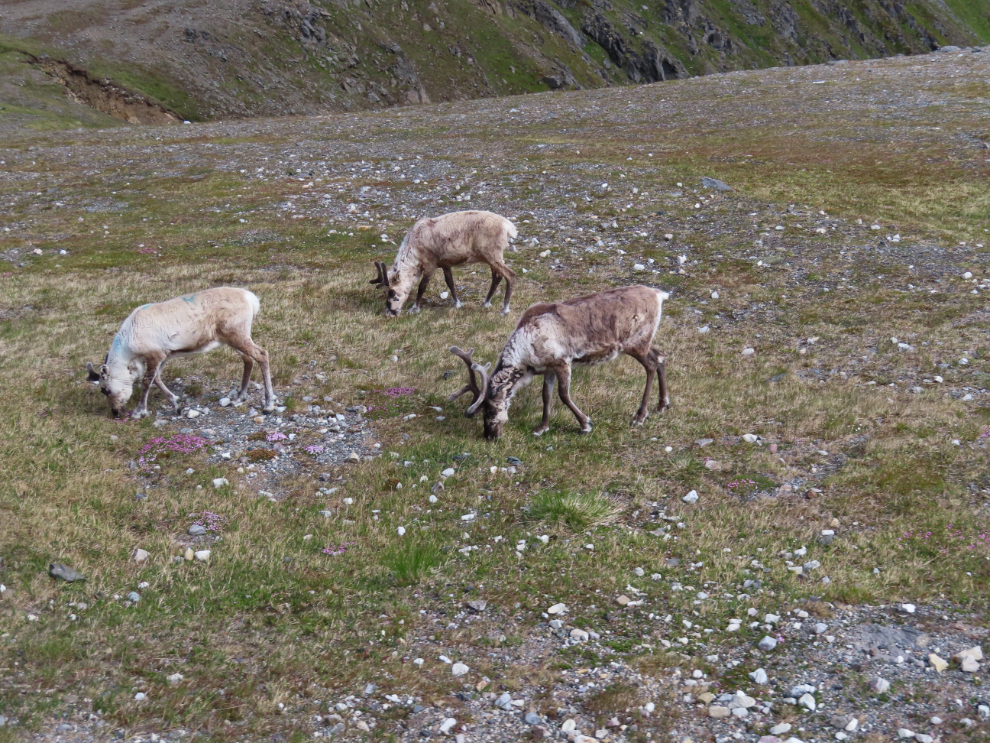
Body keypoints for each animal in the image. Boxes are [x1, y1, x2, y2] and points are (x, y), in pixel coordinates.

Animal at [85, 287, 276, 418]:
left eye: (105, 389)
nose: (115, 412)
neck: (128, 344)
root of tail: (251, 299)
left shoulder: (155, 354)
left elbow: (147, 381)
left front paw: (140, 411)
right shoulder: (165, 354)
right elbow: (157, 379)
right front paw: (177, 405)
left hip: (236, 333)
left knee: (261, 354)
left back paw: (268, 404)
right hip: (232, 337)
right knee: (248, 359)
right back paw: (239, 397)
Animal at [370, 209, 517, 316]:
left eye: (392, 293)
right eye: (385, 292)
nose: (391, 312)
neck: (414, 248)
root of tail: (509, 227)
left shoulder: (430, 264)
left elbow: (422, 286)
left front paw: (414, 308)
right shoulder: (445, 263)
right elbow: (450, 282)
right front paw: (457, 304)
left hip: (492, 254)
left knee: (510, 274)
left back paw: (504, 309)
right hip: (492, 257)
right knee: (497, 276)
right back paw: (486, 302)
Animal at [448, 285, 670, 440]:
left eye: (491, 409)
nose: (490, 436)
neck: (525, 353)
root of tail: (659, 294)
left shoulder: (563, 361)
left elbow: (563, 395)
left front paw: (585, 424)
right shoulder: (548, 367)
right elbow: (546, 395)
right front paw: (541, 428)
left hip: (635, 343)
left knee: (651, 365)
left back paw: (639, 416)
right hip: (643, 342)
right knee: (660, 357)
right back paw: (662, 405)